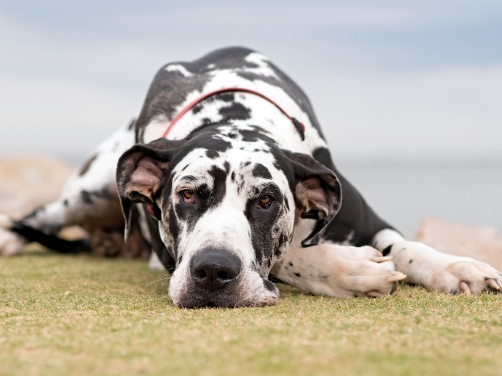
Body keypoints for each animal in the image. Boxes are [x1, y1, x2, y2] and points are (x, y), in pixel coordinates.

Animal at [0, 46, 502, 306]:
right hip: (89, 189)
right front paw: (348, 270)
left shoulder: (366, 217)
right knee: (41, 214)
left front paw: (455, 266)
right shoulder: (168, 253)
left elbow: (408, 247)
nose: (212, 272)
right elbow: (288, 255)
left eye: (266, 201)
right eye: (186, 196)